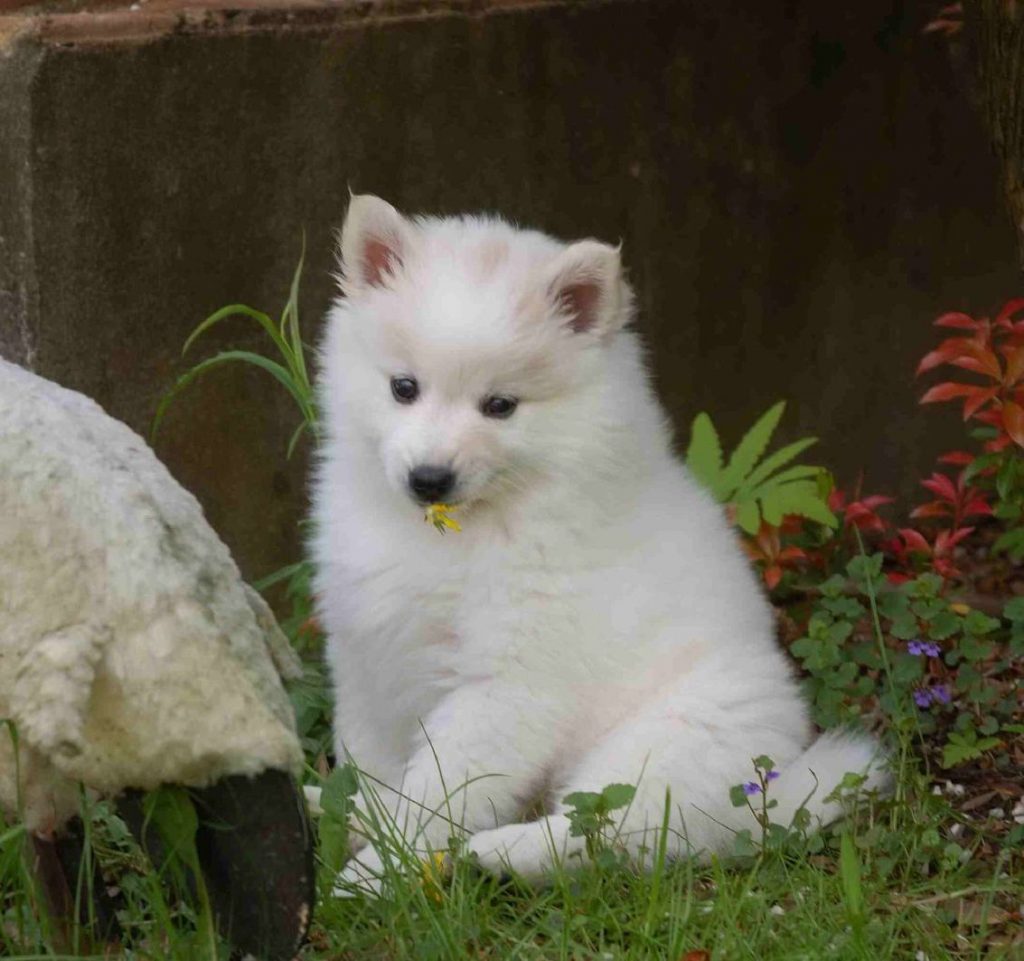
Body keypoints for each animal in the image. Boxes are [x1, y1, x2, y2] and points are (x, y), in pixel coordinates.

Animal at [309, 192, 880, 885]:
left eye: (500, 406)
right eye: (403, 388)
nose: (429, 479)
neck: (461, 532)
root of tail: (767, 799)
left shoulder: (503, 692)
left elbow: (434, 799)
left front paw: (374, 879)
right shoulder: (367, 657)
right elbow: (372, 765)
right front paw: (356, 823)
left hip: (665, 738)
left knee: (610, 833)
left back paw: (497, 852)